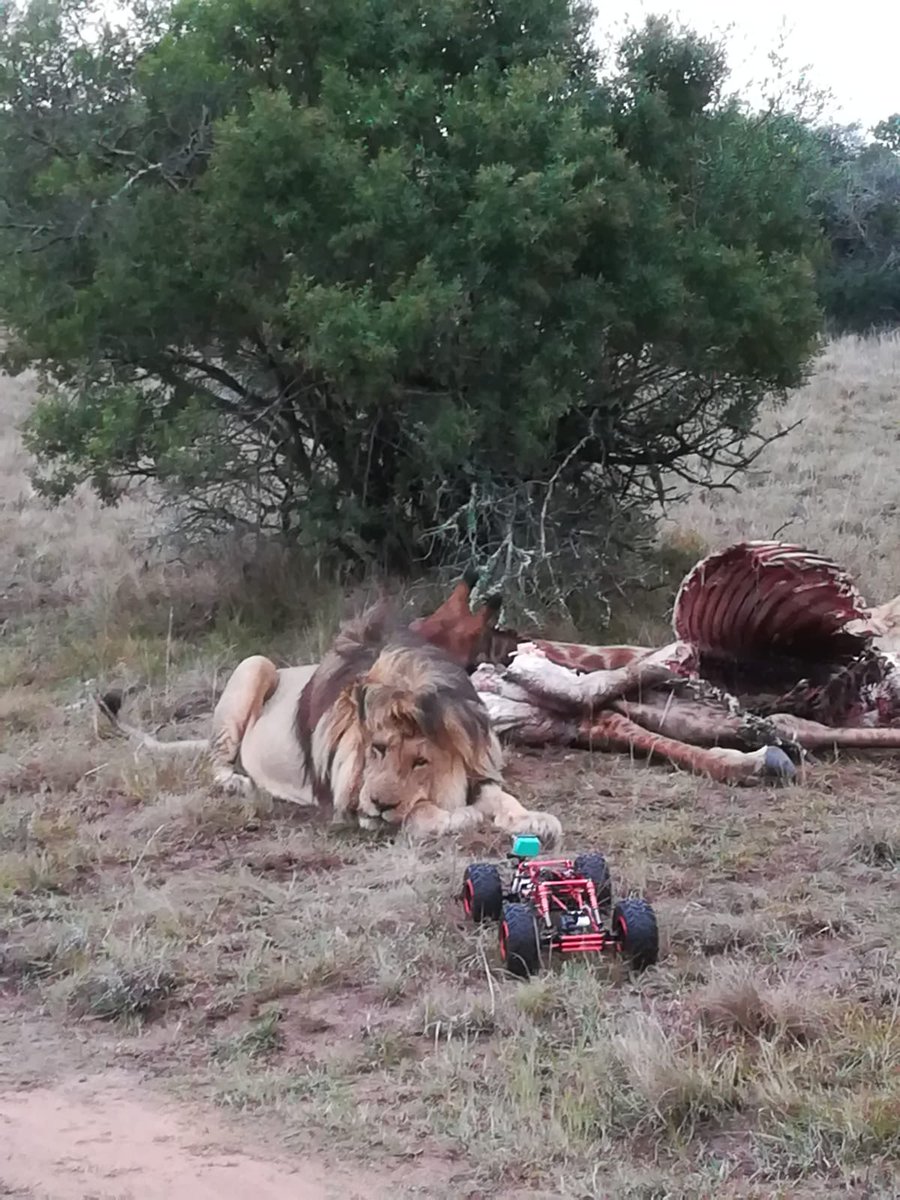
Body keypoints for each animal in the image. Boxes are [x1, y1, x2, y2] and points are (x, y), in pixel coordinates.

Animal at [96, 597, 562, 845]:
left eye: (420, 761)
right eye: (377, 749)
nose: (380, 803)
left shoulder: (476, 763)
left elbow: (501, 797)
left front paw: (536, 819)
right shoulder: (351, 804)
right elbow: (424, 814)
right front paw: (462, 817)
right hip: (254, 665)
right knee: (217, 762)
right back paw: (238, 782)